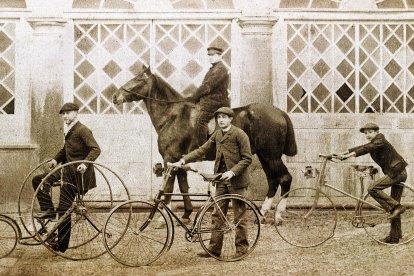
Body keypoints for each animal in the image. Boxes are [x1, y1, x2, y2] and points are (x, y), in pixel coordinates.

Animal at [111, 67, 296, 224]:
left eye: (138, 79)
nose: (115, 96)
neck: (172, 116)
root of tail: (279, 112)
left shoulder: (169, 159)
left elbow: (169, 186)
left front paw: (163, 218)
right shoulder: (179, 160)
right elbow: (183, 185)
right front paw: (186, 214)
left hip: (271, 156)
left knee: (284, 178)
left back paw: (278, 215)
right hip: (264, 156)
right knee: (273, 180)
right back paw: (263, 213)